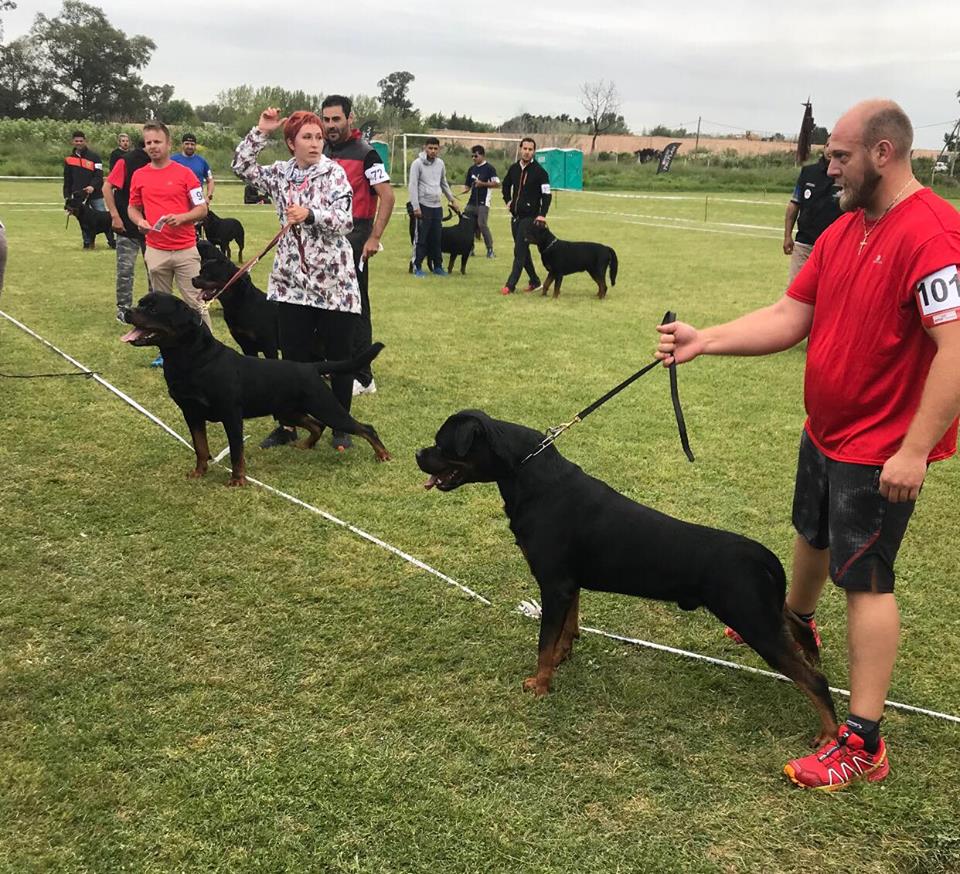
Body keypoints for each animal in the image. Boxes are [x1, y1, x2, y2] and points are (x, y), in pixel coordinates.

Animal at [122, 293, 390, 485]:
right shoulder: (191, 413)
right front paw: (199, 473)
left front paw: (237, 480)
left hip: (326, 407)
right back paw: (305, 446)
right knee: (316, 425)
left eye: (153, 309)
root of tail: (311, 367)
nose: (127, 311)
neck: (192, 359)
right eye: (141, 303)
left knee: (364, 428)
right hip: (288, 411)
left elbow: (236, 451)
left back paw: (383, 454)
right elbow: (200, 447)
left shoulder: (231, 413)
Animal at [416, 410, 837, 745]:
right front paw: (563, 656)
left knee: (814, 680)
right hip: (762, 608)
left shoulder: (554, 584)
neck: (530, 475)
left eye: (442, 443)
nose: (418, 453)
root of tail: (760, 554)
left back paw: (830, 735)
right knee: (798, 624)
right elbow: (568, 626)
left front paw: (539, 684)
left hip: (753, 620)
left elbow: (543, 641)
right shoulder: (568, 584)